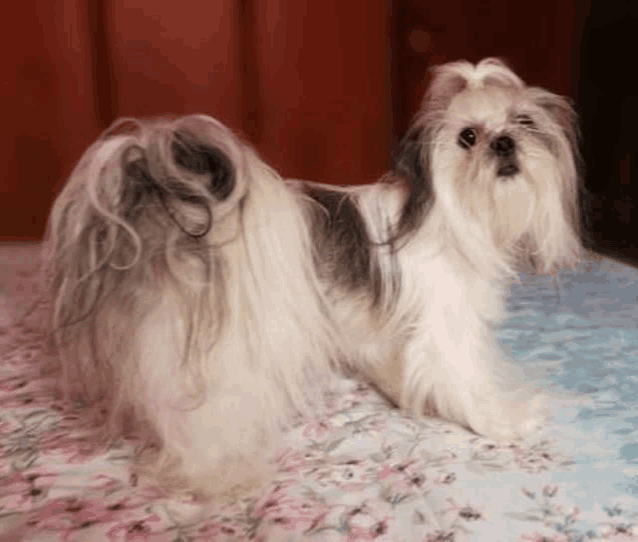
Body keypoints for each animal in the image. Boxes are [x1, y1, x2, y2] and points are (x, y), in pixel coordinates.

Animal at [42, 58, 584, 498]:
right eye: (467, 137)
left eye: (524, 121)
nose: (505, 142)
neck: (451, 214)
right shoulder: (445, 328)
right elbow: (468, 380)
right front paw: (505, 421)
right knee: (193, 421)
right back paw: (218, 478)